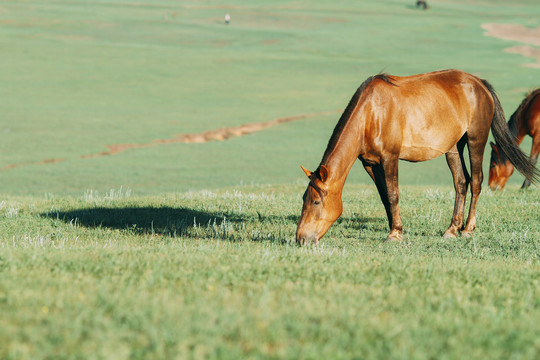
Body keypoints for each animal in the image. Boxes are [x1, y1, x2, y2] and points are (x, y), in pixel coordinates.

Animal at [298, 69, 536, 245]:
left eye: (316, 201)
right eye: (304, 199)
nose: (300, 238)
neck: (371, 113)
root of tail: (479, 83)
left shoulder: (390, 158)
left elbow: (393, 193)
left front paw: (395, 233)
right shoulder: (370, 164)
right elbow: (384, 196)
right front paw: (395, 227)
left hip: (476, 139)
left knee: (476, 182)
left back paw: (468, 229)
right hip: (453, 148)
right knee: (461, 182)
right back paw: (452, 229)